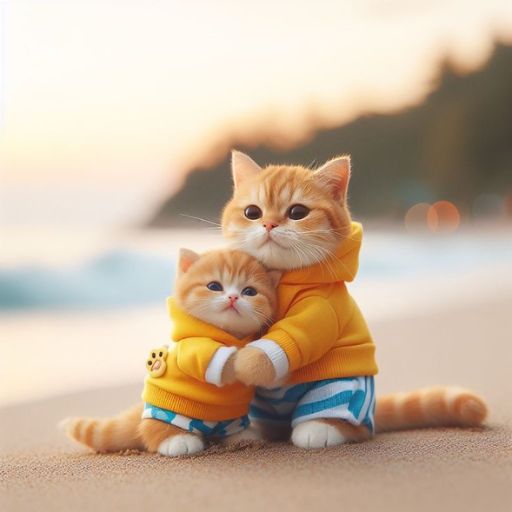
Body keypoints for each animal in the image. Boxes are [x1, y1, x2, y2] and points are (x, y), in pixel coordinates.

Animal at [64, 249, 282, 456]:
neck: (227, 334)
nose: (233, 297)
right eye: (214, 286)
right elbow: (225, 363)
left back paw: (243, 437)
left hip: (232, 420)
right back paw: (177, 440)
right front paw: (251, 360)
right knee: (153, 430)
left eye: (249, 291)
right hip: (167, 415)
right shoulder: (193, 350)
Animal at [220, 151, 488, 448]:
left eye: (297, 213)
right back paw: (248, 433)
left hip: (341, 388)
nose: (268, 224)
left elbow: (291, 338)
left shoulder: (322, 309)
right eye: (252, 213)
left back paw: (318, 428)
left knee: (351, 424)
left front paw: (246, 362)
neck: (279, 274)